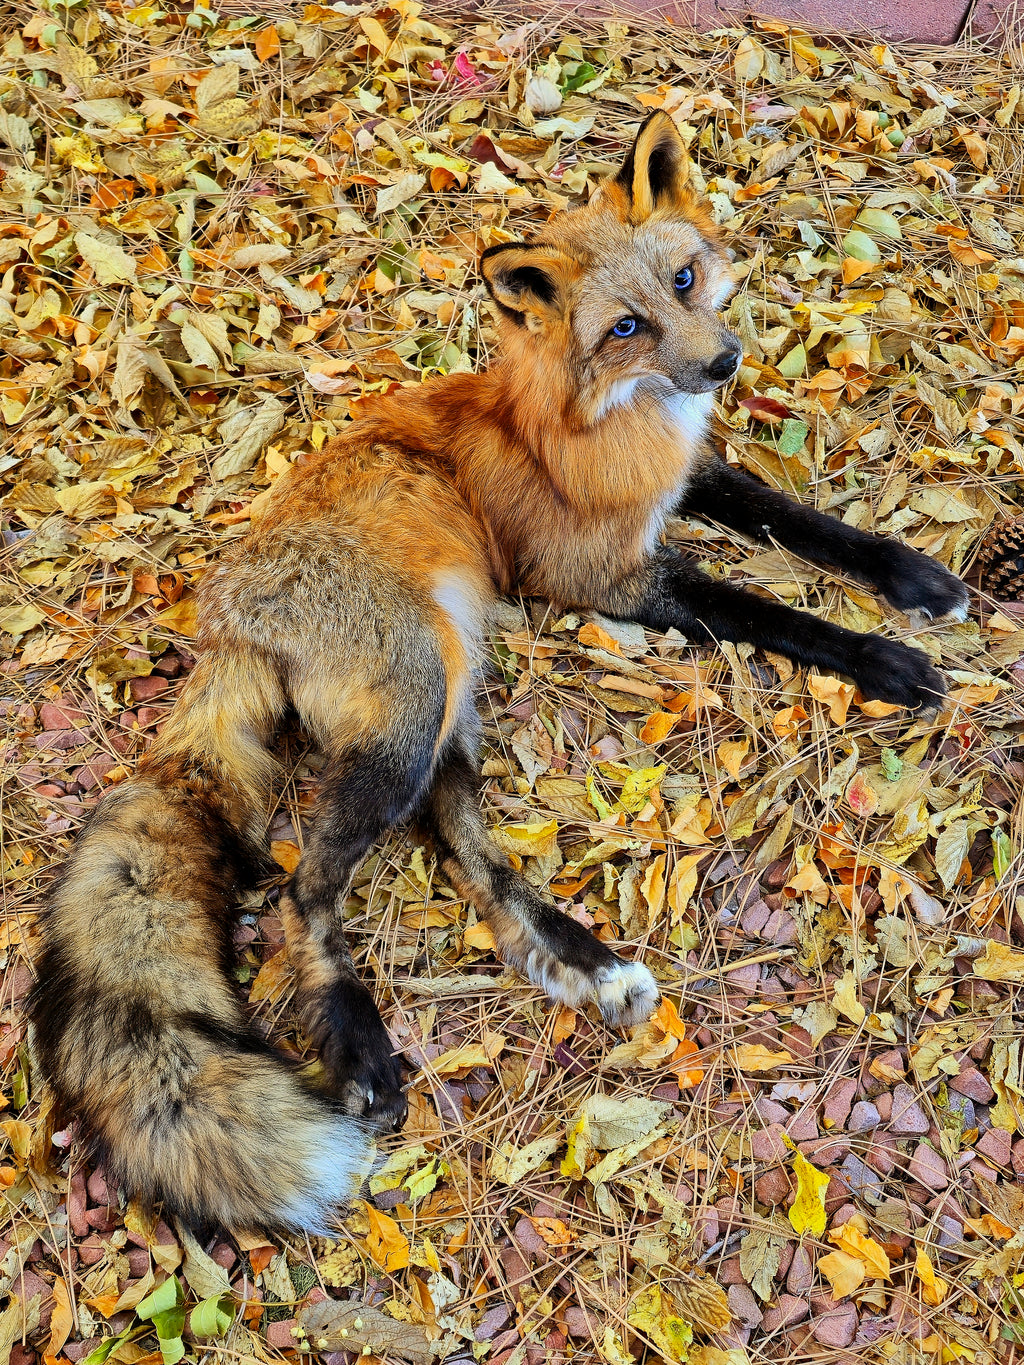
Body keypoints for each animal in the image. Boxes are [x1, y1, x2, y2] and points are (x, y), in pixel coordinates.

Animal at [30, 111, 969, 1236]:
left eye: (686, 279)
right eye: (625, 327)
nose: (724, 362)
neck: (605, 425)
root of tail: (224, 622)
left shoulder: (688, 481)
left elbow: (803, 521)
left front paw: (912, 577)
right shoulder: (605, 579)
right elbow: (774, 612)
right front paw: (888, 658)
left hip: (448, 702)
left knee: (472, 858)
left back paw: (587, 966)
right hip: (412, 712)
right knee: (304, 888)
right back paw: (362, 1047)